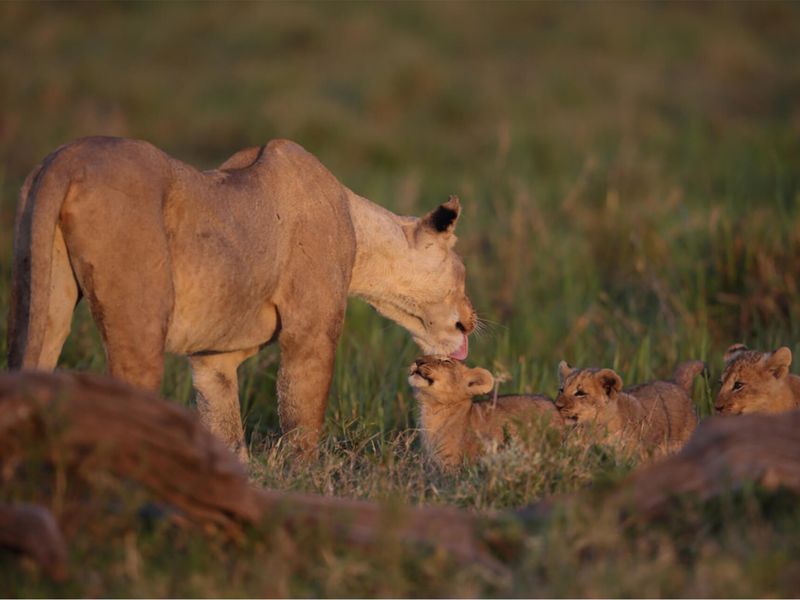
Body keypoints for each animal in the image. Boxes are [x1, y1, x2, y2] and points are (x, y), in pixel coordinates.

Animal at [8, 137, 476, 459]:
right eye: (462, 272)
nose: (471, 321)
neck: (358, 226)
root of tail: (67, 156)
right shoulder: (311, 330)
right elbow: (302, 415)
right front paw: (307, 481)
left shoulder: (214, 359)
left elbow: (226, 429)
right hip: (139, 321)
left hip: (41, 299)